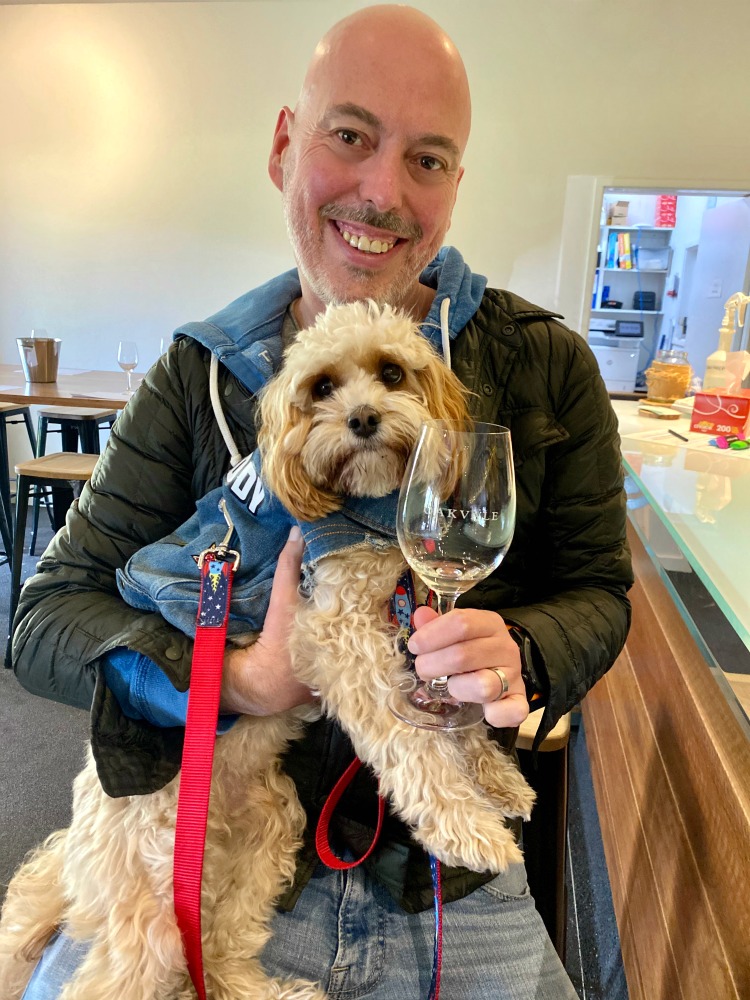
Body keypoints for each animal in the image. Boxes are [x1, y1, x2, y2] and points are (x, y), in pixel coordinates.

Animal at [0, 300, 536, 996]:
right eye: (322, 387)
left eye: (392, 372)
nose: (363, 419)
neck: (361, 506)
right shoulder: (337, 636)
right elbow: (413, 745)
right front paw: (469, 827)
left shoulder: (407, 614)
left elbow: (444, 706)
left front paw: (498, 779)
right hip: (149, 897)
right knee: (121, 980)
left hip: (272, 831)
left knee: (219, 957)